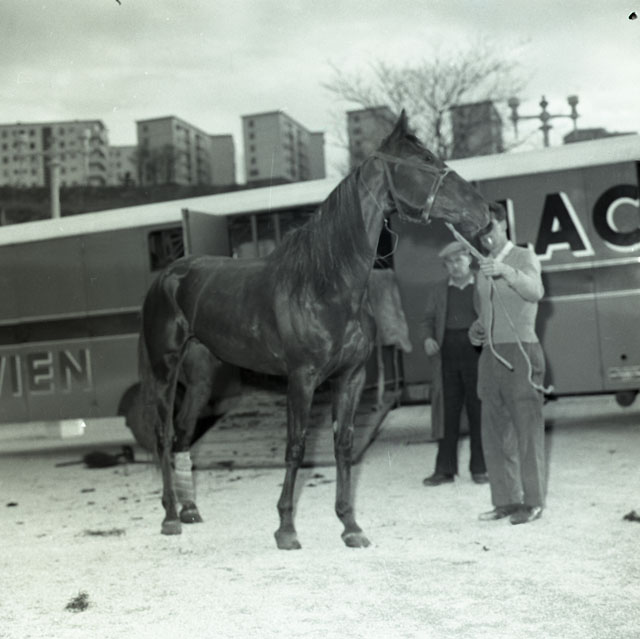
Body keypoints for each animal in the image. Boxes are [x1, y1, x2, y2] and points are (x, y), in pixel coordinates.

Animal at [138, 110, 490, 549]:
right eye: (425, 160)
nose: (485, 210)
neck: (327, 286)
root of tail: (166, 276)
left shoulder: (351, 378)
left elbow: (343, 444)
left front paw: (350, 525)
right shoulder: (301, 379)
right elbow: (296, 446)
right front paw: (286, 528)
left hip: (202, 377)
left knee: (183, 434)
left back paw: (189, 510)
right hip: (165, 370)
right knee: (162, 434)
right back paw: (170, 516)